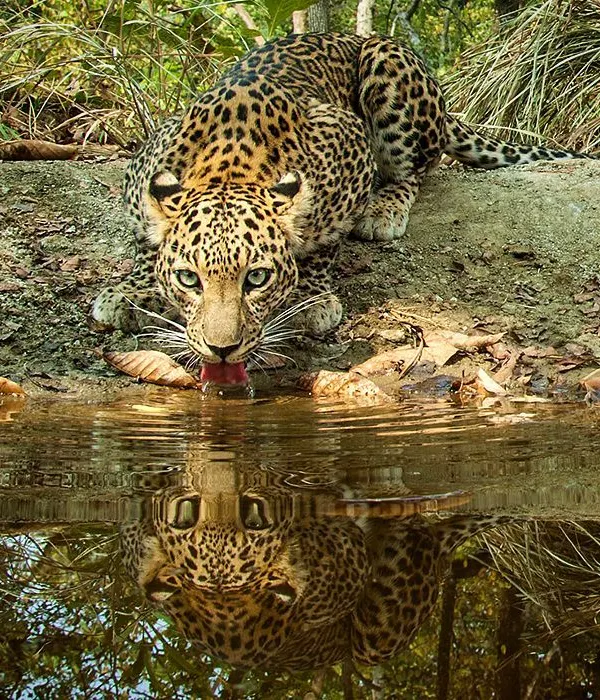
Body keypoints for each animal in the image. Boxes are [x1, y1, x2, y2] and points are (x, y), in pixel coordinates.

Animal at [91, 32, 592, 385]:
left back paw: (383, 210)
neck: (229, 169)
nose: (222, 349)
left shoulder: (345, 139)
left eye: (257, 279)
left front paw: (312, 298)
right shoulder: (146, 166)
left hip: (388, 67)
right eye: (188, 279)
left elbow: (322, 239)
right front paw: (130, 290)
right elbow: (145, 239)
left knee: (414, 171)